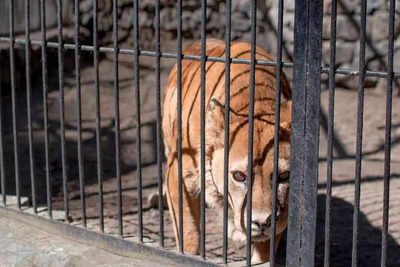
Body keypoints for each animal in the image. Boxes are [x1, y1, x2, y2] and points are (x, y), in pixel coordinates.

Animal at [161, 39, 292, 264]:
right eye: (238, 176)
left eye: (284, 176)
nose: (262, 222)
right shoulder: (177, 173)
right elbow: (189, 232)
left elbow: (264, 253)